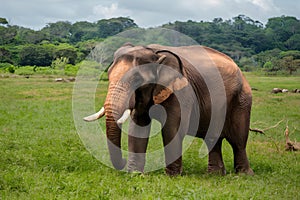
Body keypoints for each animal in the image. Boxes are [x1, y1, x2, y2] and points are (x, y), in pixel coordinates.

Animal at [84, 43, 253, 176]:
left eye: (137, 79)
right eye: (108, 75)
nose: (124, 160)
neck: (154, 53)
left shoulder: (181, 90)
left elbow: (172, 128)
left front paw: (172, 176)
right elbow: (138, 127)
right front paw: (135, 174)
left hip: (242, 99)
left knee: (238, 140)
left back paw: (244, 175)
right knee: (212, 138)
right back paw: (216, 175)